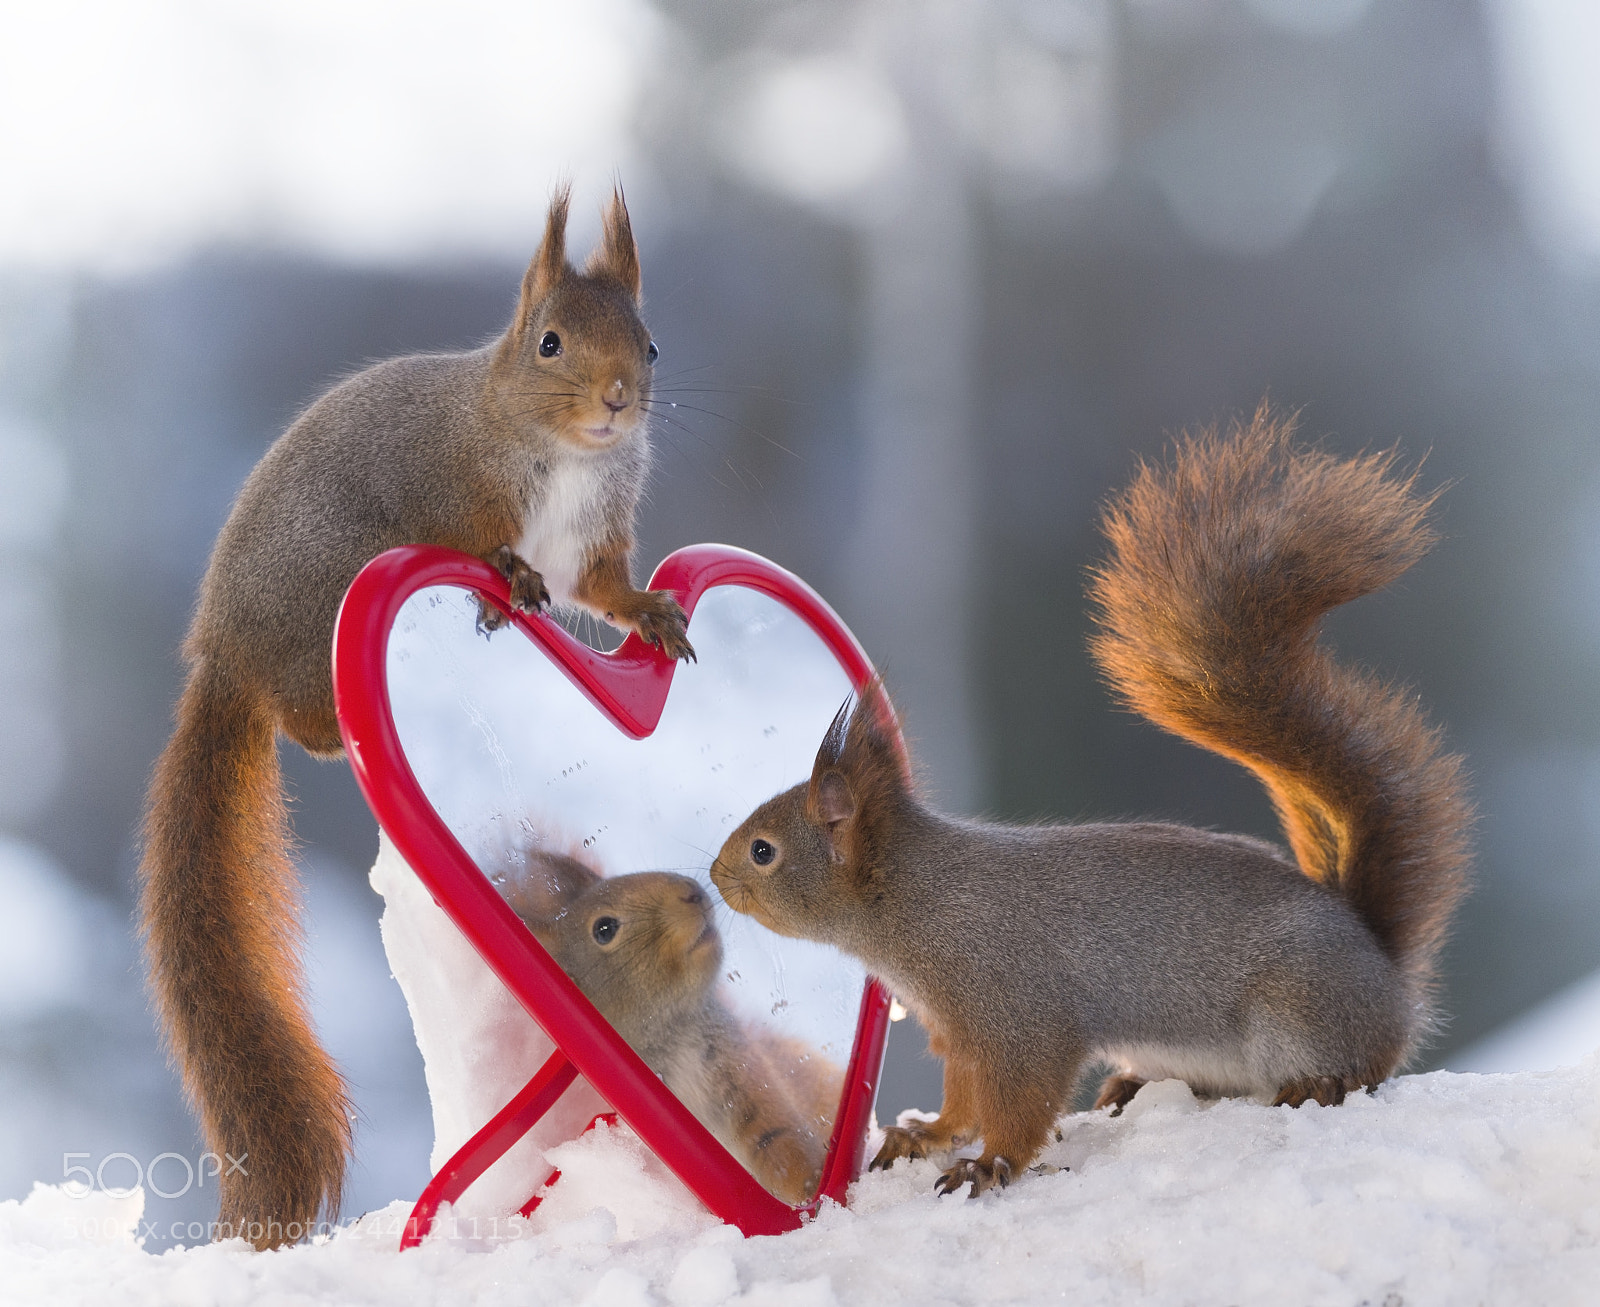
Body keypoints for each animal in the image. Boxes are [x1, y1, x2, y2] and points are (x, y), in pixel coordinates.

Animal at [137, 185, 694, 1249]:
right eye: (550, 342)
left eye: (650, 344)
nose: (616, 399)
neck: (559, 450)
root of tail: (225, 655)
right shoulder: (459, 486)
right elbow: (485, 541)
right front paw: (508, 577)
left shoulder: (594, 539)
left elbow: (604, 589)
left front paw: (653, 613)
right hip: (329, 605)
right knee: (303, 722)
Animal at [505, 848, 842, 1206]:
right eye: (604, 928)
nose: (692, 892)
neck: (673, 1036)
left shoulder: (743, 1071)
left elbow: (774, 1134)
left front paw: (810, 1188)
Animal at [710, 408, 1473, 1199]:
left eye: (764, 851)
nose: (712, 875)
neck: (916, 899)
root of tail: (1385, 971)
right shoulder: (959, 1032)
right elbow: (963, 1098)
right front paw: (929, 1135)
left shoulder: (1016, 1012)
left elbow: (1022, 1098)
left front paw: (987, 1164)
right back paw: (1131, 1087)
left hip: (1302, 1011)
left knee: (1365, 1065)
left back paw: (1318, 1083)